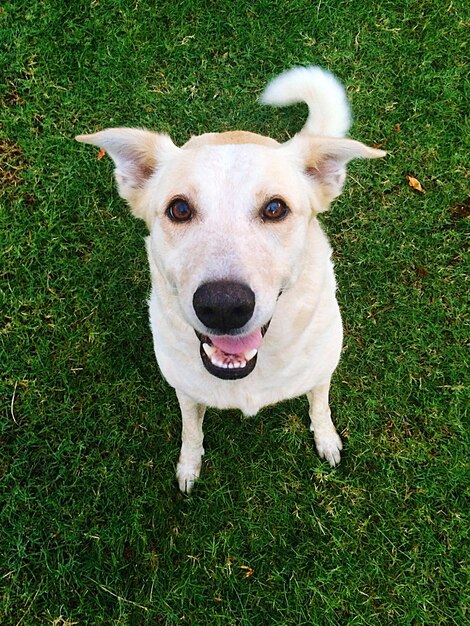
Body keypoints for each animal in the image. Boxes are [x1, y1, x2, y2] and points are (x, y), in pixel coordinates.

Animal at [76, 64, 386, 492]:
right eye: (179, 209)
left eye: (275, 208)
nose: (223, 306)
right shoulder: (186, 392)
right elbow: (191, 431)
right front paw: (189, 465)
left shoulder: (322, 372)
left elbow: (320, 406)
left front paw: (326, 439)